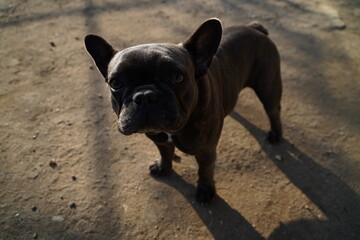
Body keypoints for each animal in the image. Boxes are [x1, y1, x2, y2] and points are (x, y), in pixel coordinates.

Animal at [83, 17, 282, 203]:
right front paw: (163, 167)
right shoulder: (159, 138)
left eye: (177, 78)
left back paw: (276, 135)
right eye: (116, 83)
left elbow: (205, 170)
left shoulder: (205, 150)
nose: (145, 95)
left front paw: (205, 190)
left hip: (268, 88)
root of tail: (255, 29)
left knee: (273, 111)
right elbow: (165, 152)